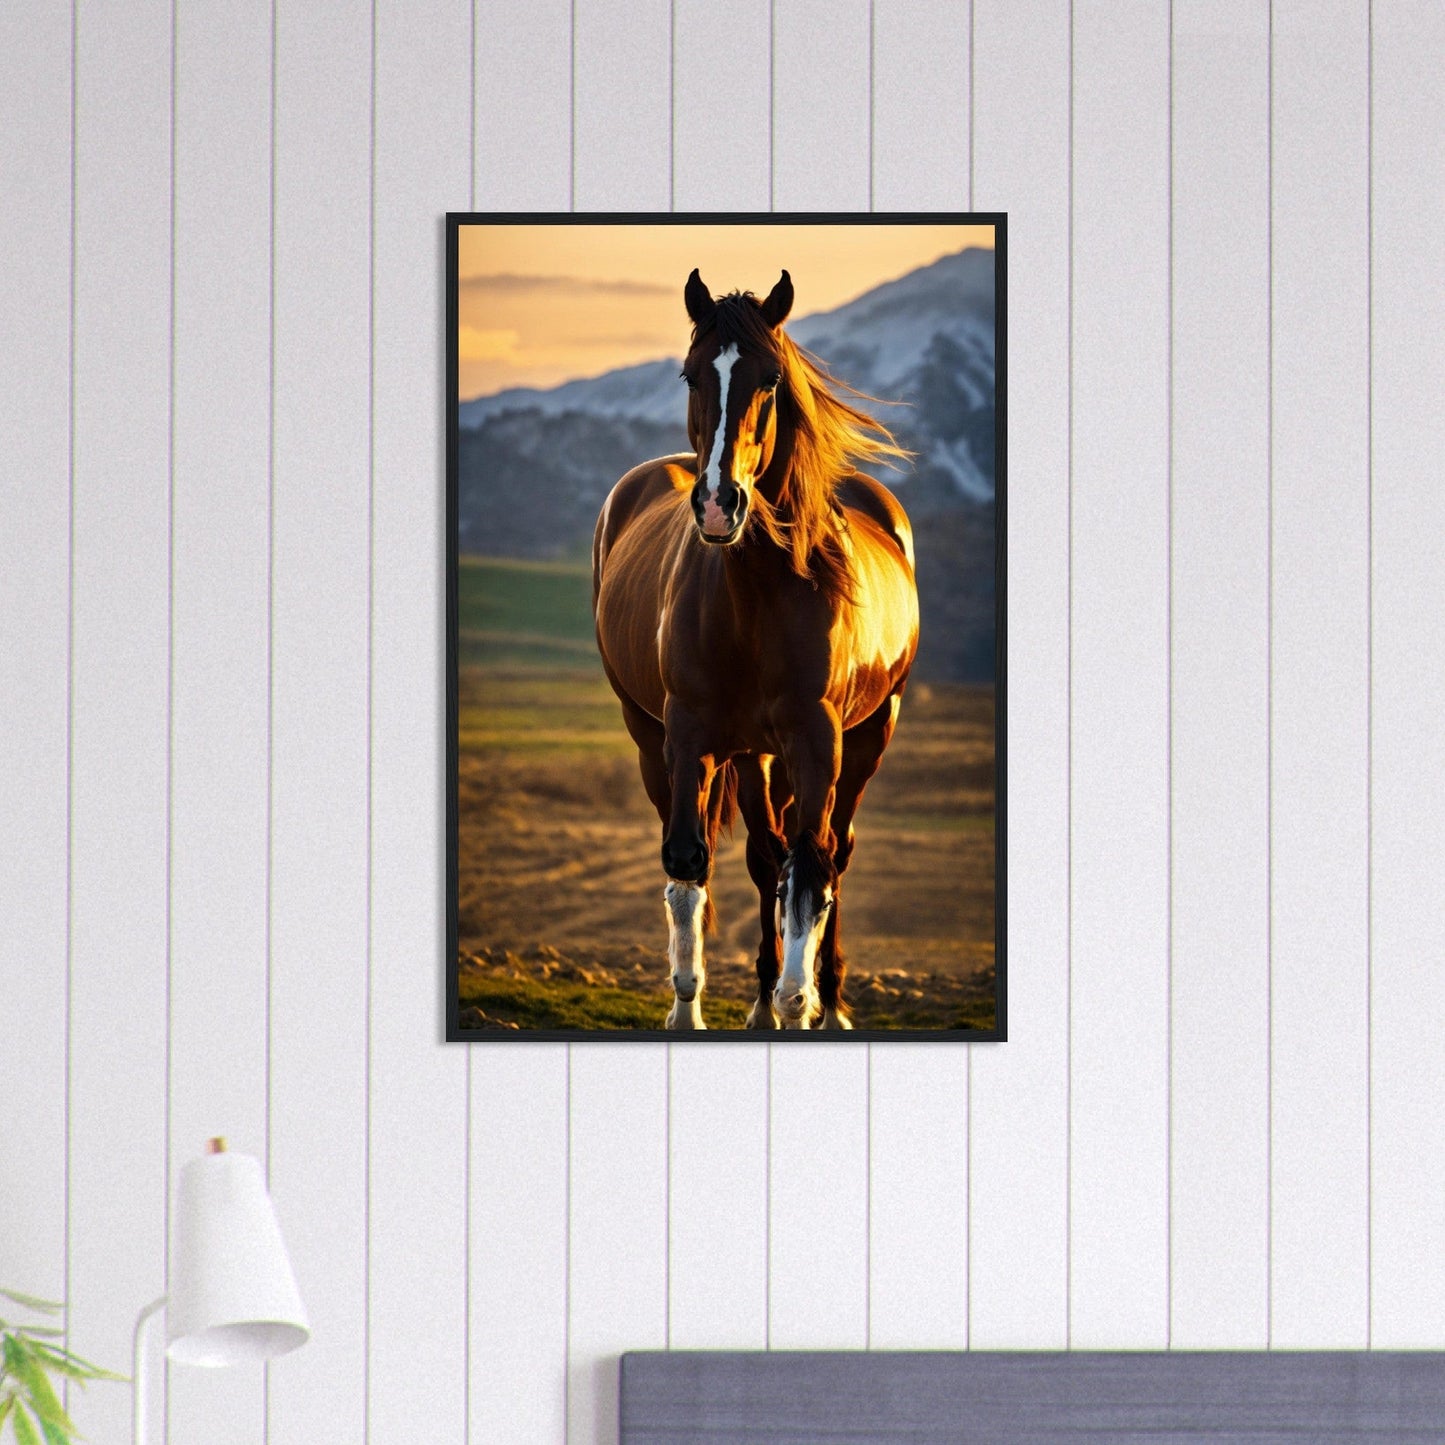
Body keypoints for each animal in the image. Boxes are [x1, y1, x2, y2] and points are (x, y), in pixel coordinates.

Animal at [591, 268, 919, 1029]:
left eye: (770, 378)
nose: (719, 504)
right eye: (690, 373)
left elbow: (811, 868)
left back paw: (826, 999)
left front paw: (801, 1003)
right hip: (698, 744)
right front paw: (692, 1010)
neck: (759, 595)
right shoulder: (689, 734)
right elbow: (690, 862)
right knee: (763, 856)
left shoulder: (818, 738)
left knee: (831, 854)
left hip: (867, 734)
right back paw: (763, 1002)